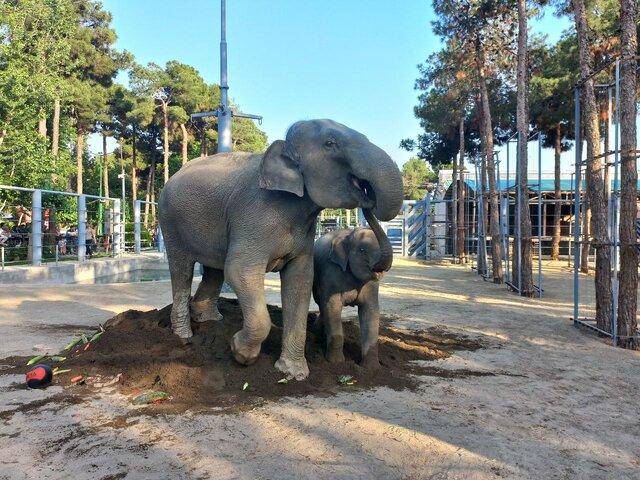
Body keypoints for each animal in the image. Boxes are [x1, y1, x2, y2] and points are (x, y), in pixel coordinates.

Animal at [312, 208, 392, 370]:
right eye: (362, 250)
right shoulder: (331, 273)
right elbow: (332, 306)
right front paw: (336, 363)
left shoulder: (370, 285)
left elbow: (370, 311)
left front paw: (371, 368)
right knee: (321, 303)